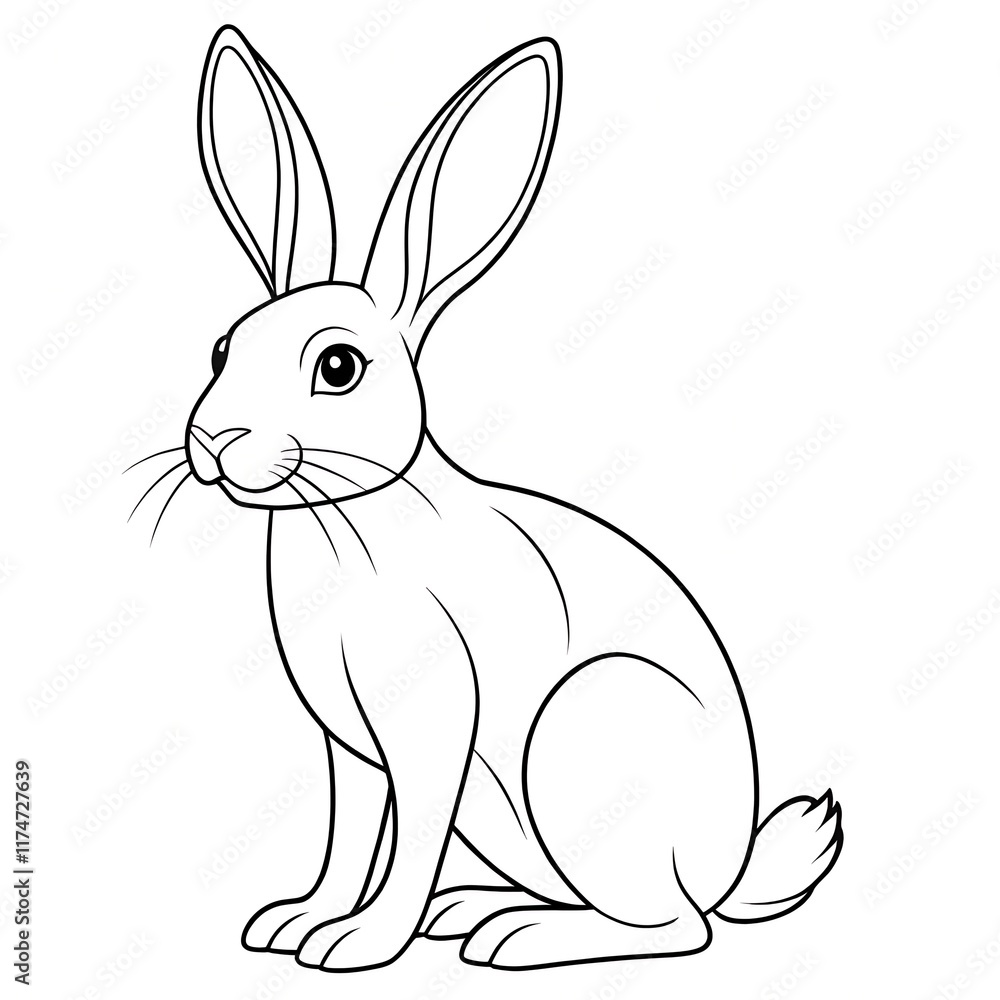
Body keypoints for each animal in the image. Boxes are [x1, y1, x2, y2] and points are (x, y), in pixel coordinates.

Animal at [166, 25, 844, 972]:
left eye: (338, 366)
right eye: (222, 349)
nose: (216, 441)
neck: (350, 517)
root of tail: (728, 866)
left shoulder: (432, 728)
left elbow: (407, 845)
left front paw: (358, 945)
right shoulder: (350, 752)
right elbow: (347, 842)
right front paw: (294, 925)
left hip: (583, 743)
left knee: (677, 928)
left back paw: (514, 938)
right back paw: (470, 913)